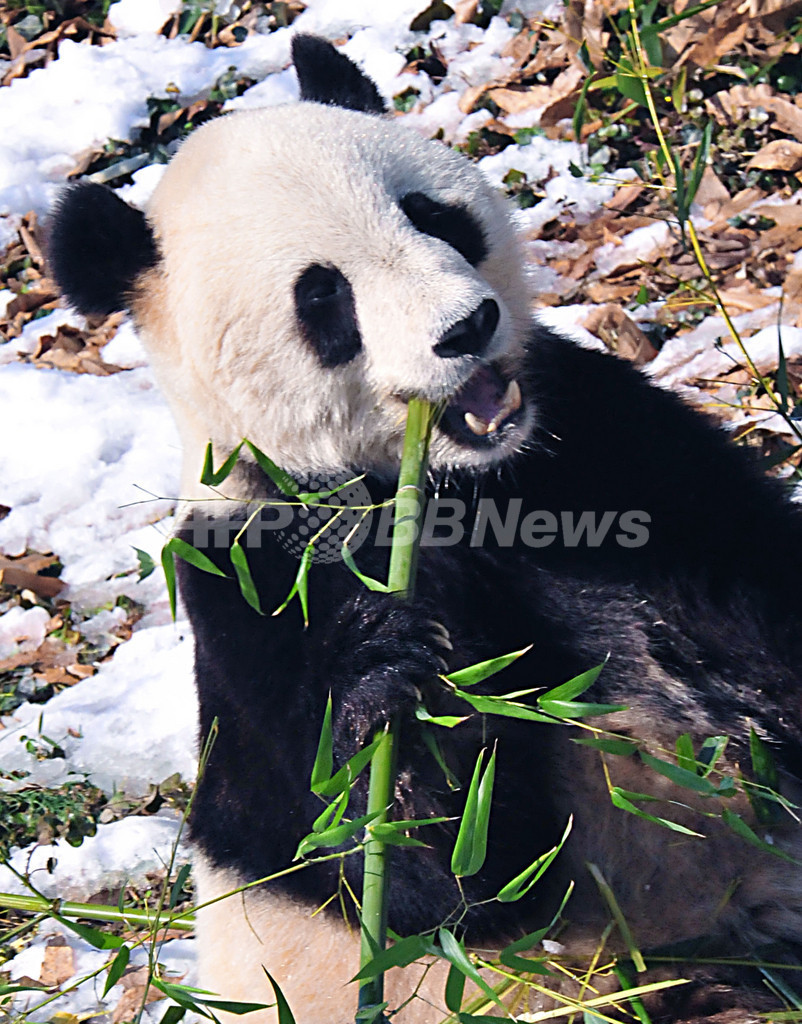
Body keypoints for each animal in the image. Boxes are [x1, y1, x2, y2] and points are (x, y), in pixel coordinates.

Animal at [48, 32, 802, 1024]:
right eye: (323, 297)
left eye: (433, 216)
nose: (467, 326)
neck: (444, 479)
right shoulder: (257, 577)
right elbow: (427, 868)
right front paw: (388, 689)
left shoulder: (602, 442)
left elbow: (748, 608)